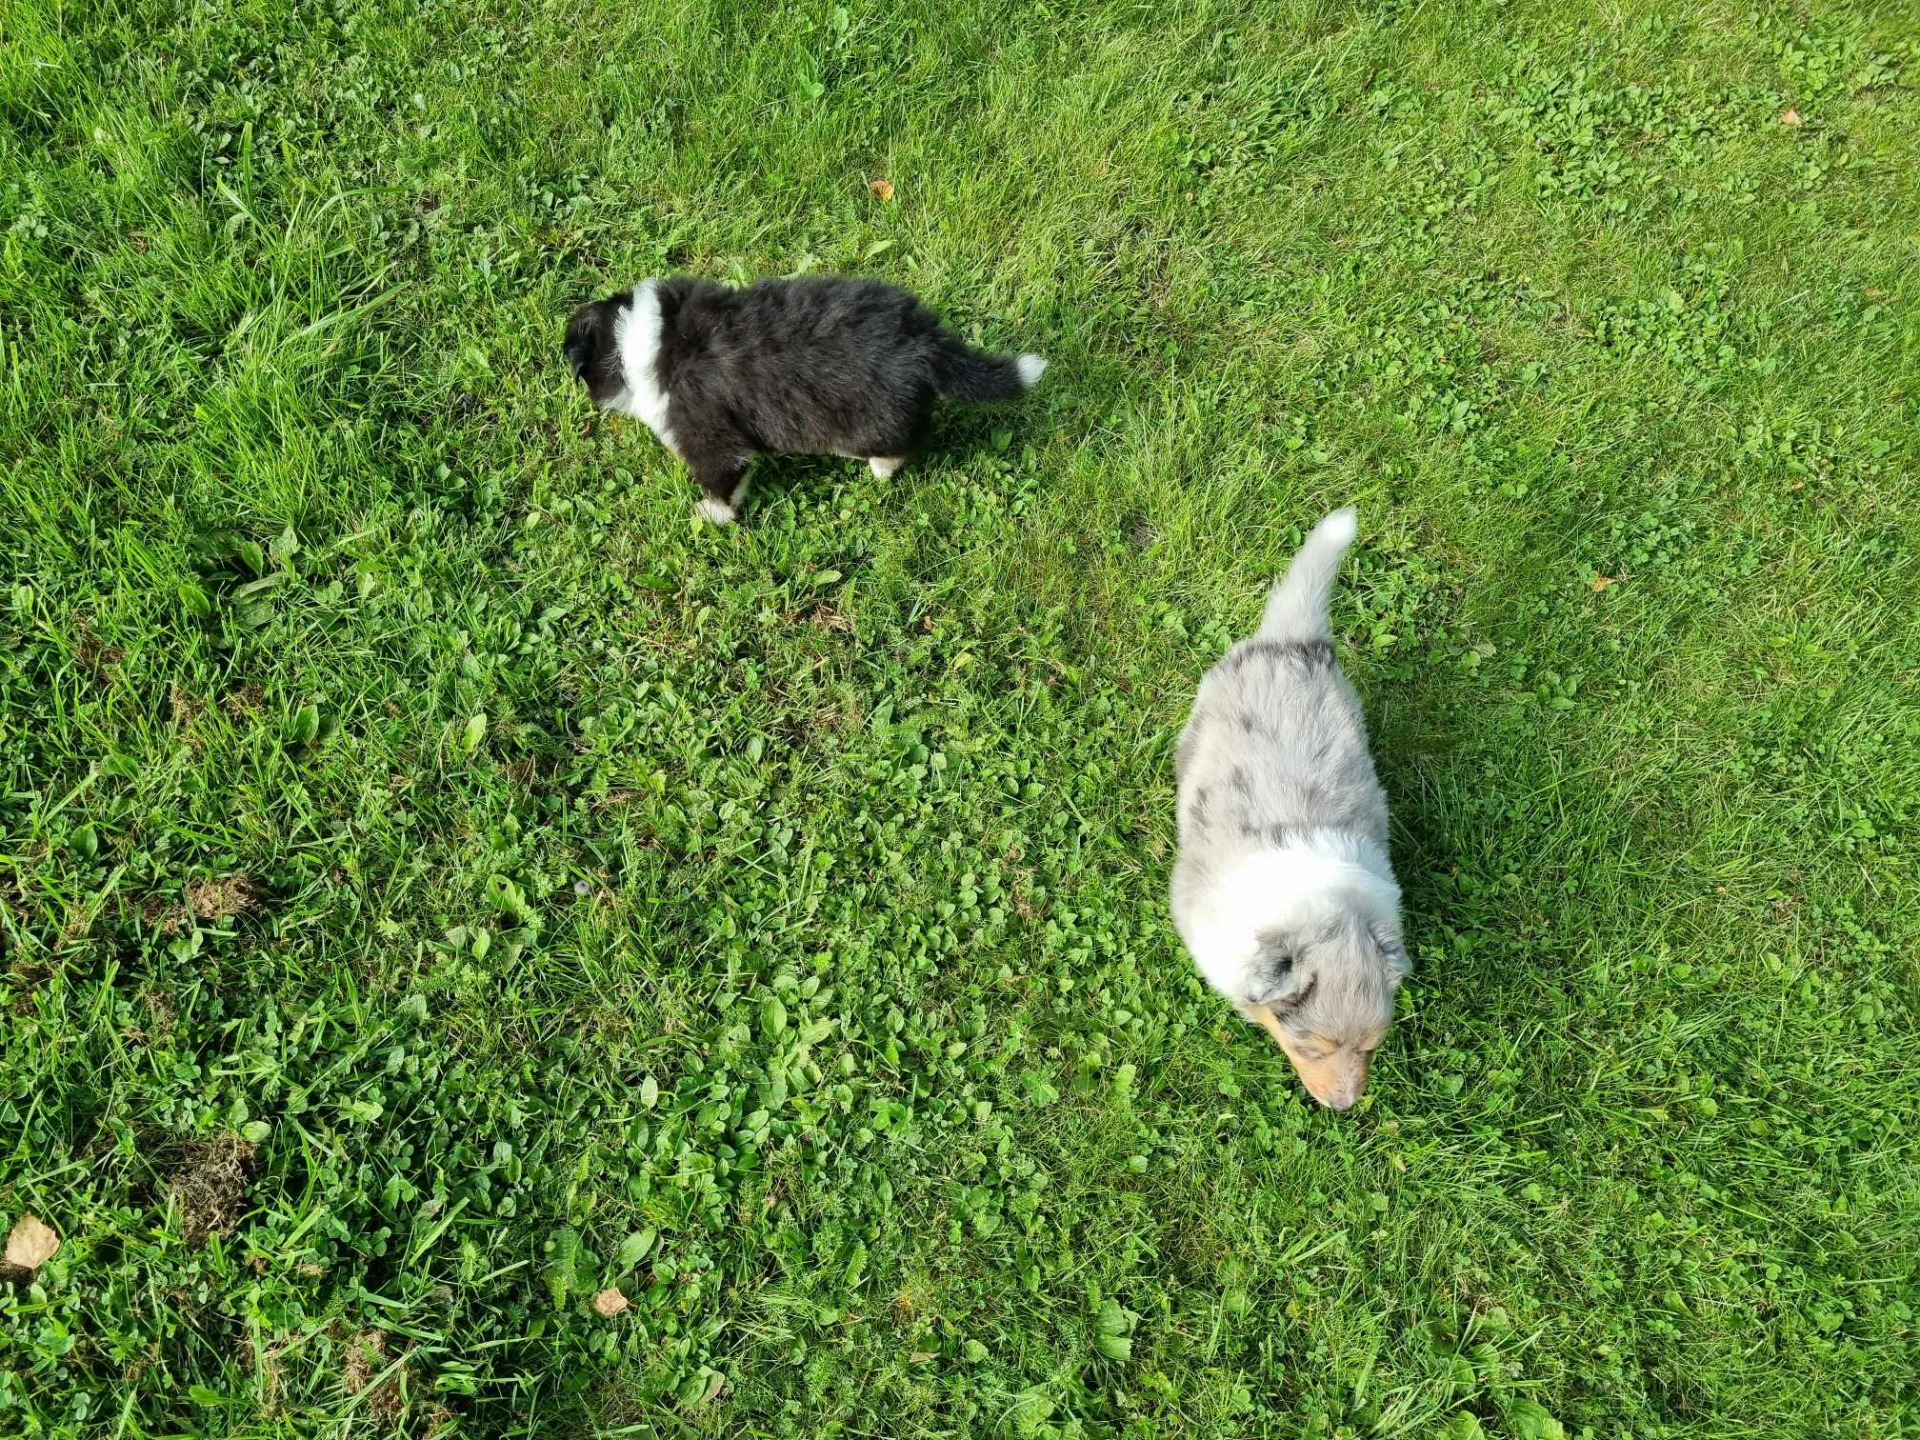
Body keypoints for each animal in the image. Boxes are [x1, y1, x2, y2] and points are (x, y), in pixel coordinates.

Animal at [564, 276, 1046, 523]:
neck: (635, 337)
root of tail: (923, 340)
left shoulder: (706, 431)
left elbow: (725, 478)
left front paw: (713, 513)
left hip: (869, 417)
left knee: (902, 442)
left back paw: (880, 468)